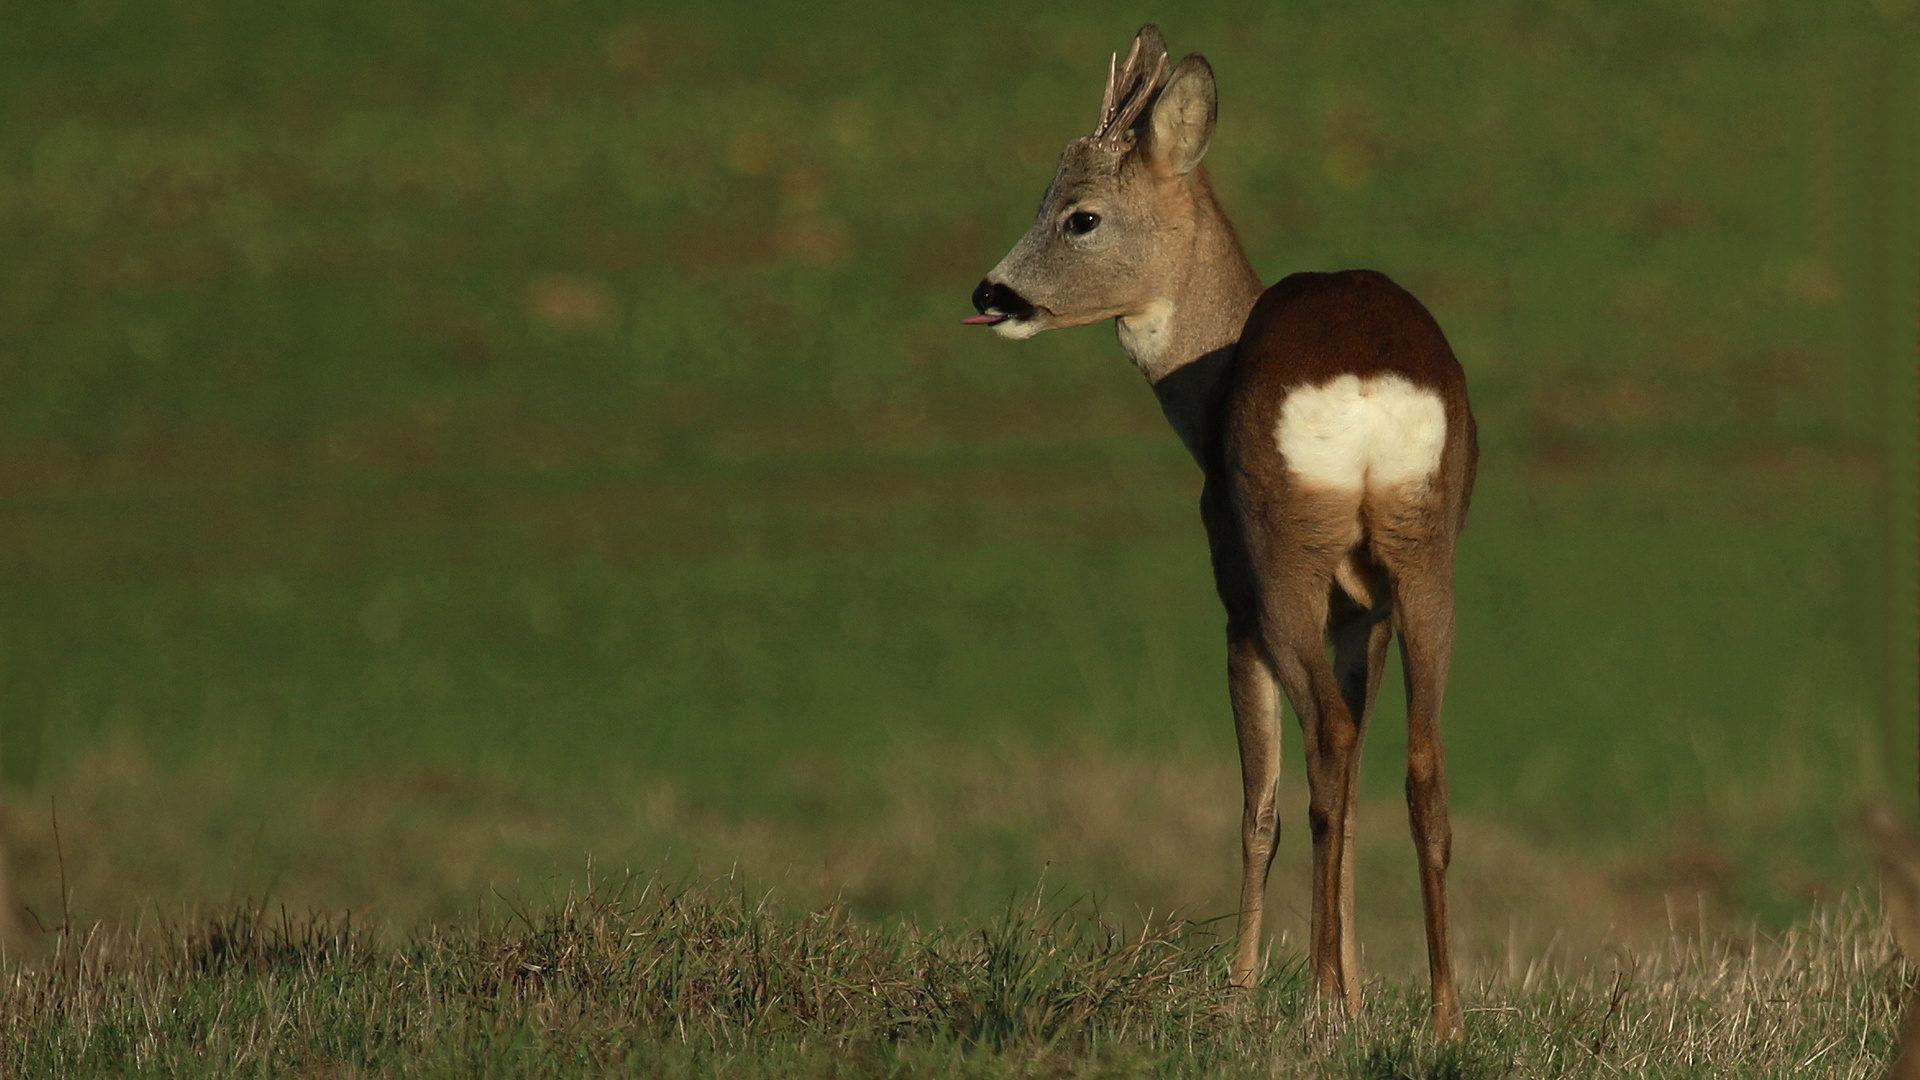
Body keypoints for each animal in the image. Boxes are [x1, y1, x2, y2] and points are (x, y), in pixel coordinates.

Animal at [967, 27, 1474, 1037]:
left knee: (1319, 754)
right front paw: (1360, 994)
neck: (1204, 381)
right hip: (1425, 553)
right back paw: (1441, 1014)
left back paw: (1315, 996)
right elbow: (1359, 789)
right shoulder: (1364, 614)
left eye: (1079, 215)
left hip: (1284, 557)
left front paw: (1248, 989)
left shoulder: (1236, 603)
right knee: (1418, 764)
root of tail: (1368, 384)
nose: (991, 292)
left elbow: (1260, 808)